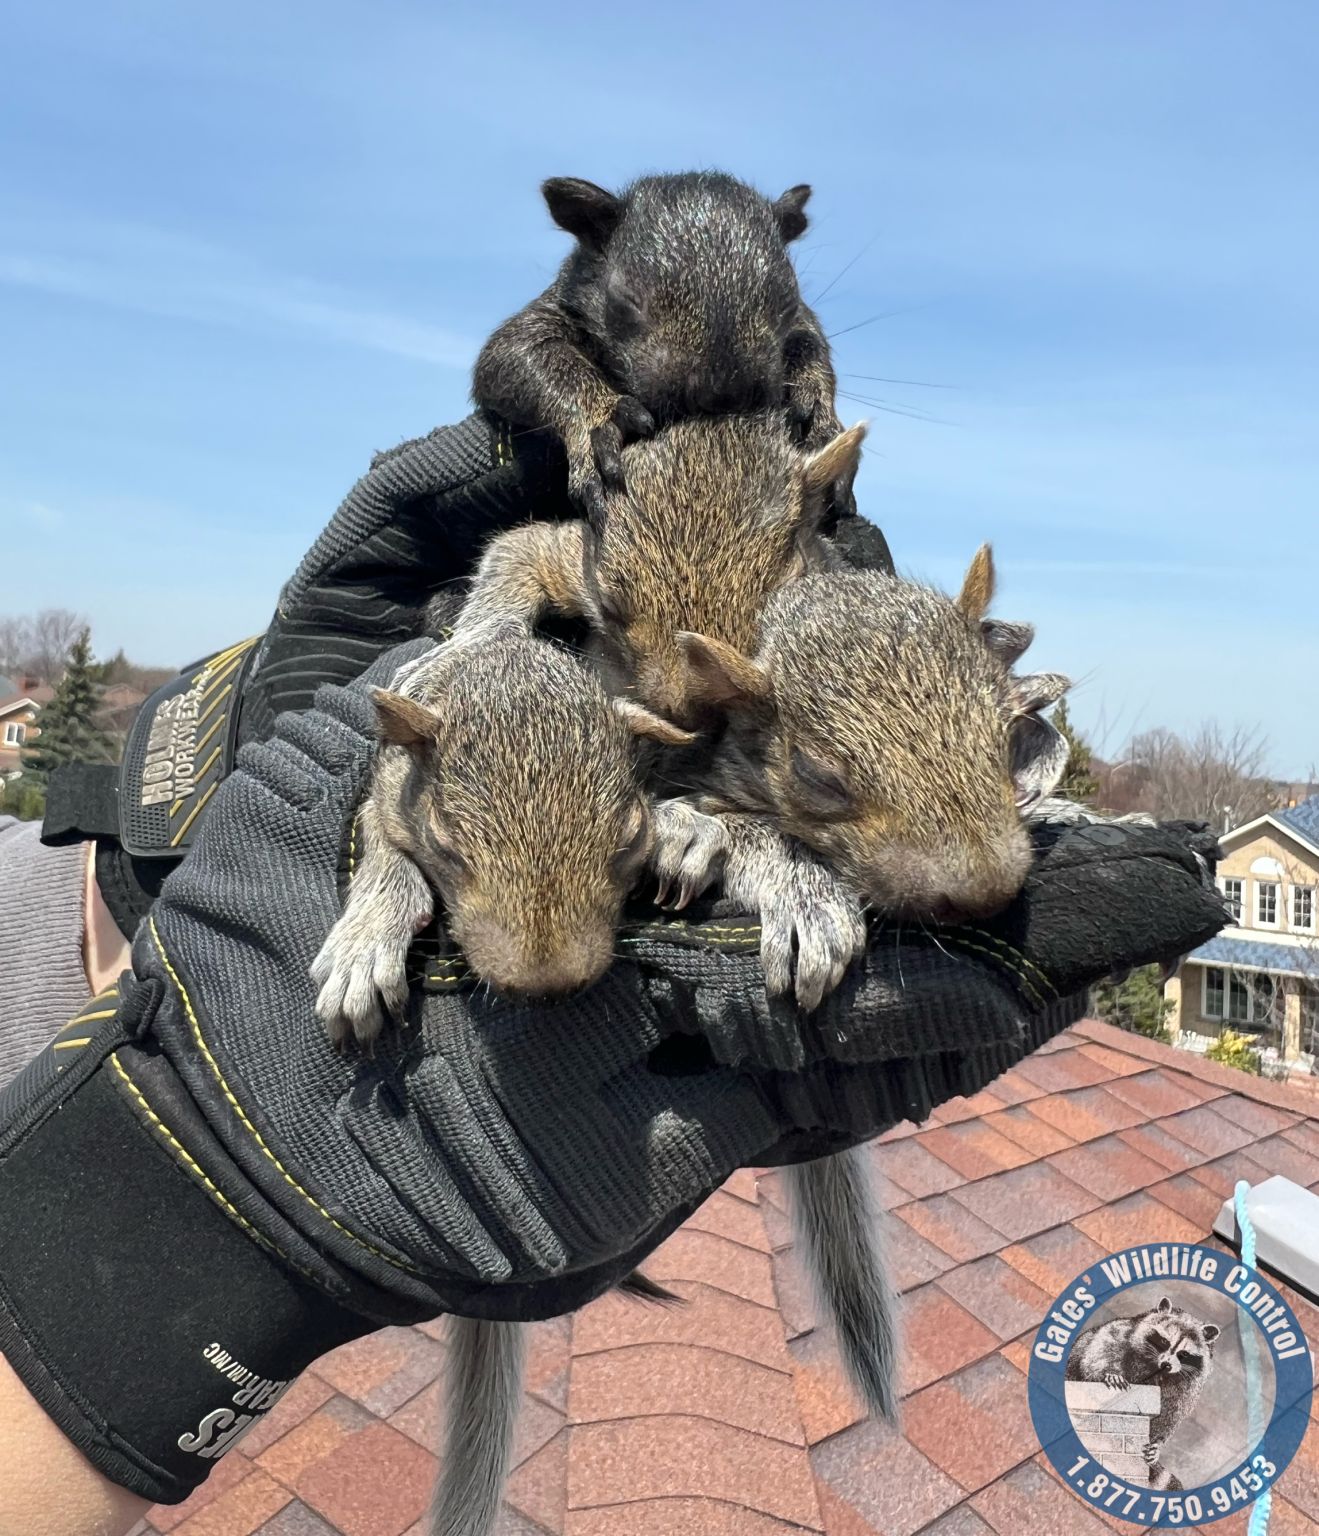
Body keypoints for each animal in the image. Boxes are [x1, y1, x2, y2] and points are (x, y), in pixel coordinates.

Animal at [472, 171, 846, 521]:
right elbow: (514, 353)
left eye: (789, 303)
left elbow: (810, 341)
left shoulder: (802, 322)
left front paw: (819, 415)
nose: (724, 397)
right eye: (626, 299)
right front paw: (601, 422)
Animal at [1067, 1296, 1220, 1491]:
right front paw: (1109, 1373)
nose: (1166, 1365)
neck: (1155, 1368)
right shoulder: (1122, 1331)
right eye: (1164, 1341)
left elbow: (1170, 1415)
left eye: (1184, 1354)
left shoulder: (1187, 1387)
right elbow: (1100, 1349)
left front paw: (1158, 1443)